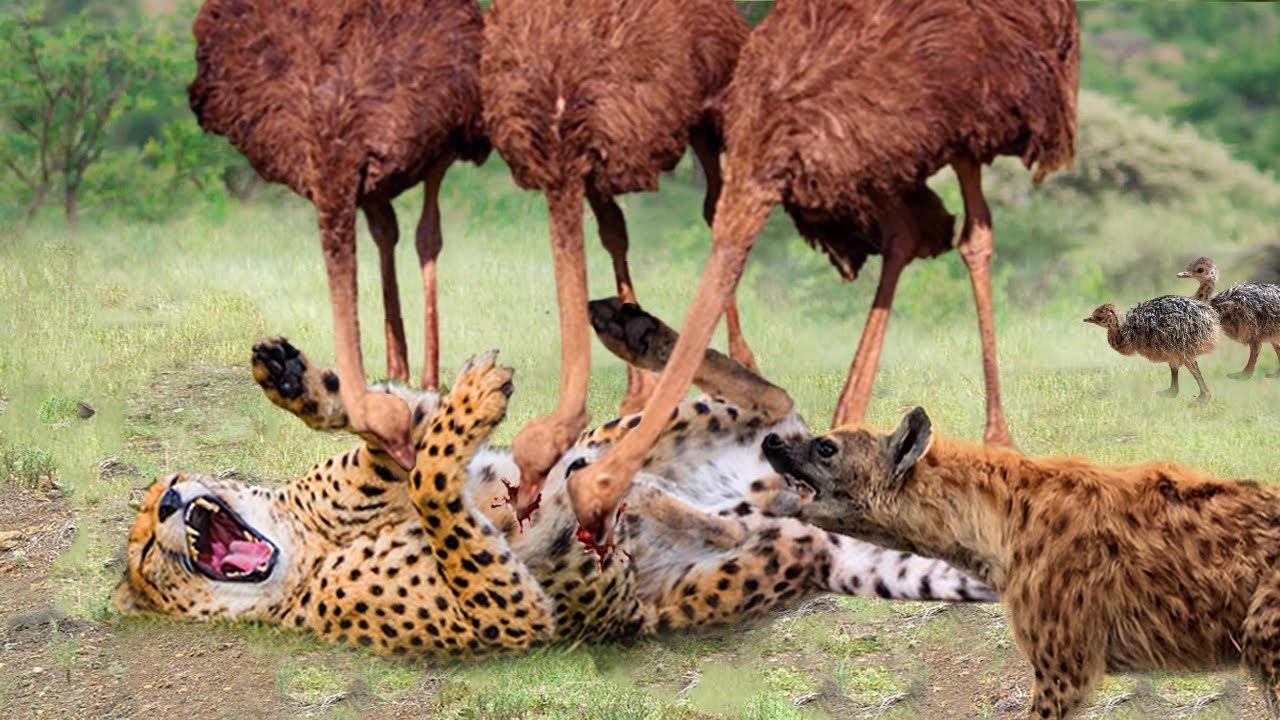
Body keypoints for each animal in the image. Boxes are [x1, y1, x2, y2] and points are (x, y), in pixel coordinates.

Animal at [116, 306, 995, 658]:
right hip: (699, 587)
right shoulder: (512, 616)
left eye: (163, 492)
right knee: (760, 505)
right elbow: (437, 486)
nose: (171, 499)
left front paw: (297, 380)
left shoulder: (410, 457)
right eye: (142, 553)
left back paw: (631, 335)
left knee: (773, 405)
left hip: (668, 426)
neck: (299, 548)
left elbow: (402, 428)